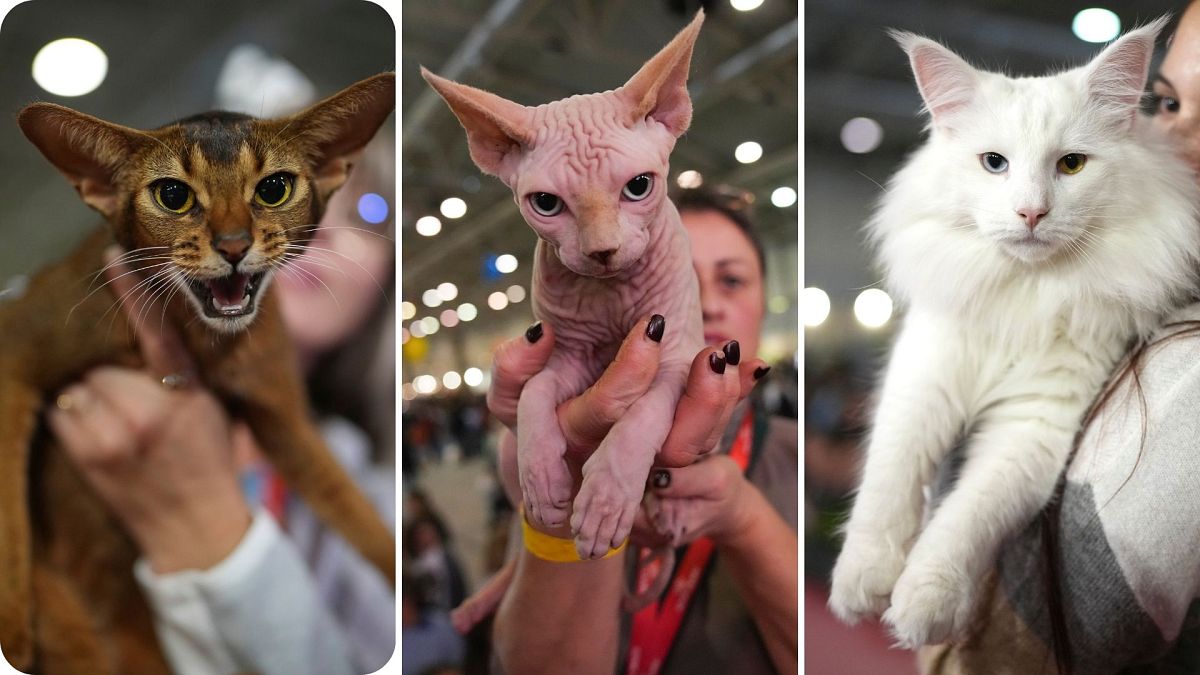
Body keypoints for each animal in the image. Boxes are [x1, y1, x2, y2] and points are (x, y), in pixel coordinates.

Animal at [830, 18, 1195, 643]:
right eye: (994, 163)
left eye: (1071, 165)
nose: (1031, 213)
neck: (1022, 299)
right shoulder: (920, 383)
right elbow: (888, 483)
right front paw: (860, 583)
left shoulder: (1031, 428)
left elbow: (963, 520)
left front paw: (924, 605)